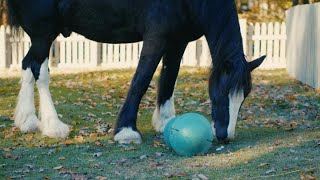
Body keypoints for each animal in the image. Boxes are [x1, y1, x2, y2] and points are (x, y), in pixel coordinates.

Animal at [5, 0, 264, 143]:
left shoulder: (177, 41)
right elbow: (141, 80)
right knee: (39, 71)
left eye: (244, 97)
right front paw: (126, 131)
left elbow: (169, 79)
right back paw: (53, 127)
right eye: (221, 92)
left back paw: (28, 122)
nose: (224, 136)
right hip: (44, 34)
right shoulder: (156, 38)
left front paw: (165, 122)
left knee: (28, 65)